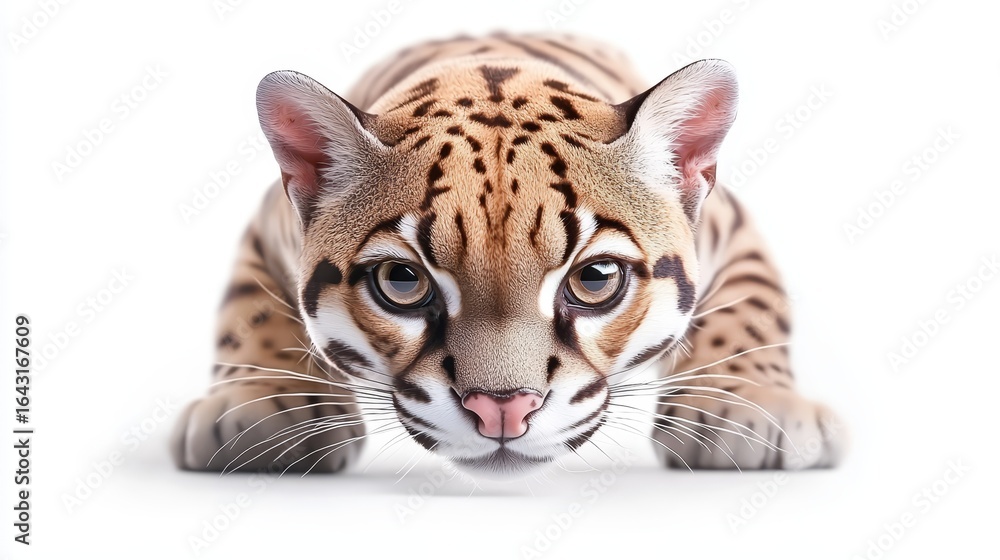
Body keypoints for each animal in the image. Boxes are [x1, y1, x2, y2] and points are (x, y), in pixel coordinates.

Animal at [170, 33, 846, 477]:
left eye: (596, 278)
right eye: (402, 280)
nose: (503, 411)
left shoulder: (731, 224)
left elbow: (753, 305)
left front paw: (746, 407)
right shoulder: (268, 224)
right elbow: (250, 309)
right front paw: (265, 408)